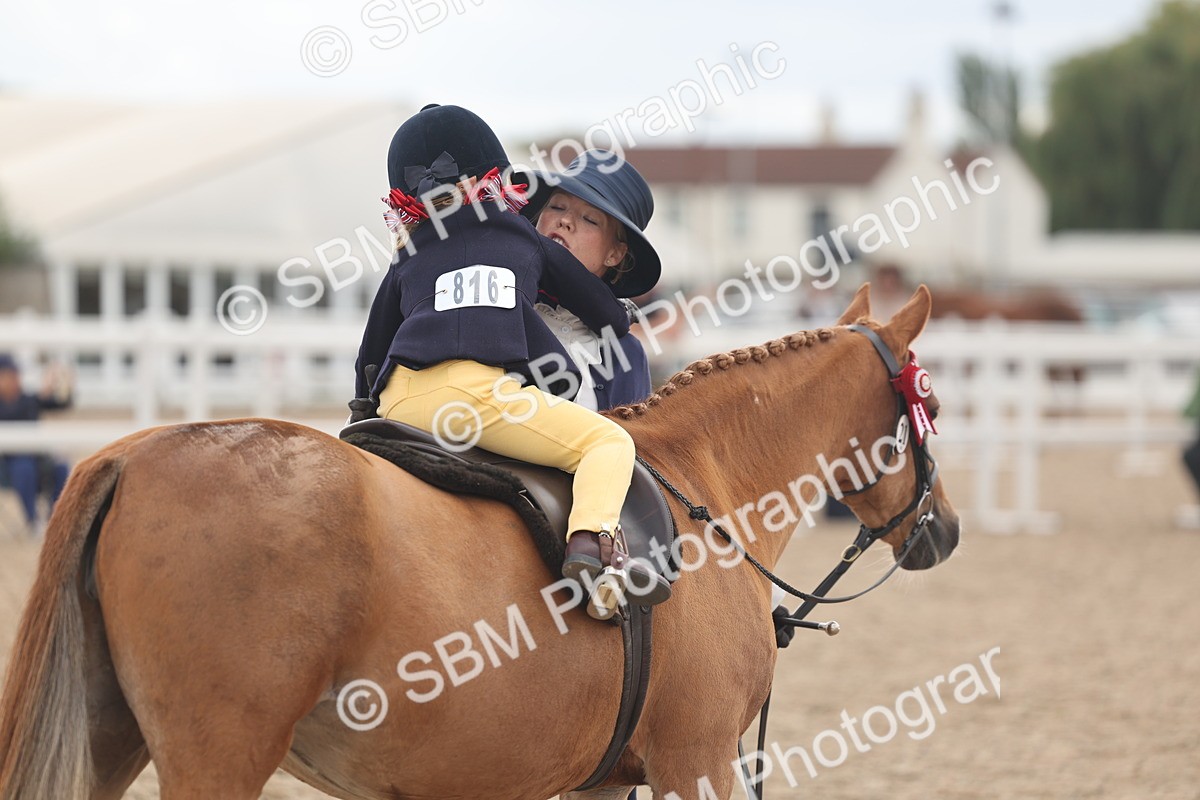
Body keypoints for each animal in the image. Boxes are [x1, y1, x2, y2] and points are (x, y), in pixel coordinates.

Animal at [0, 283, 959, 800]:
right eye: (934, 405)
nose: (944, 529)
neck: (701, 485)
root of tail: (134, 454)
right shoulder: (695, 759)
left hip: (108, 740)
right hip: (217, 758)